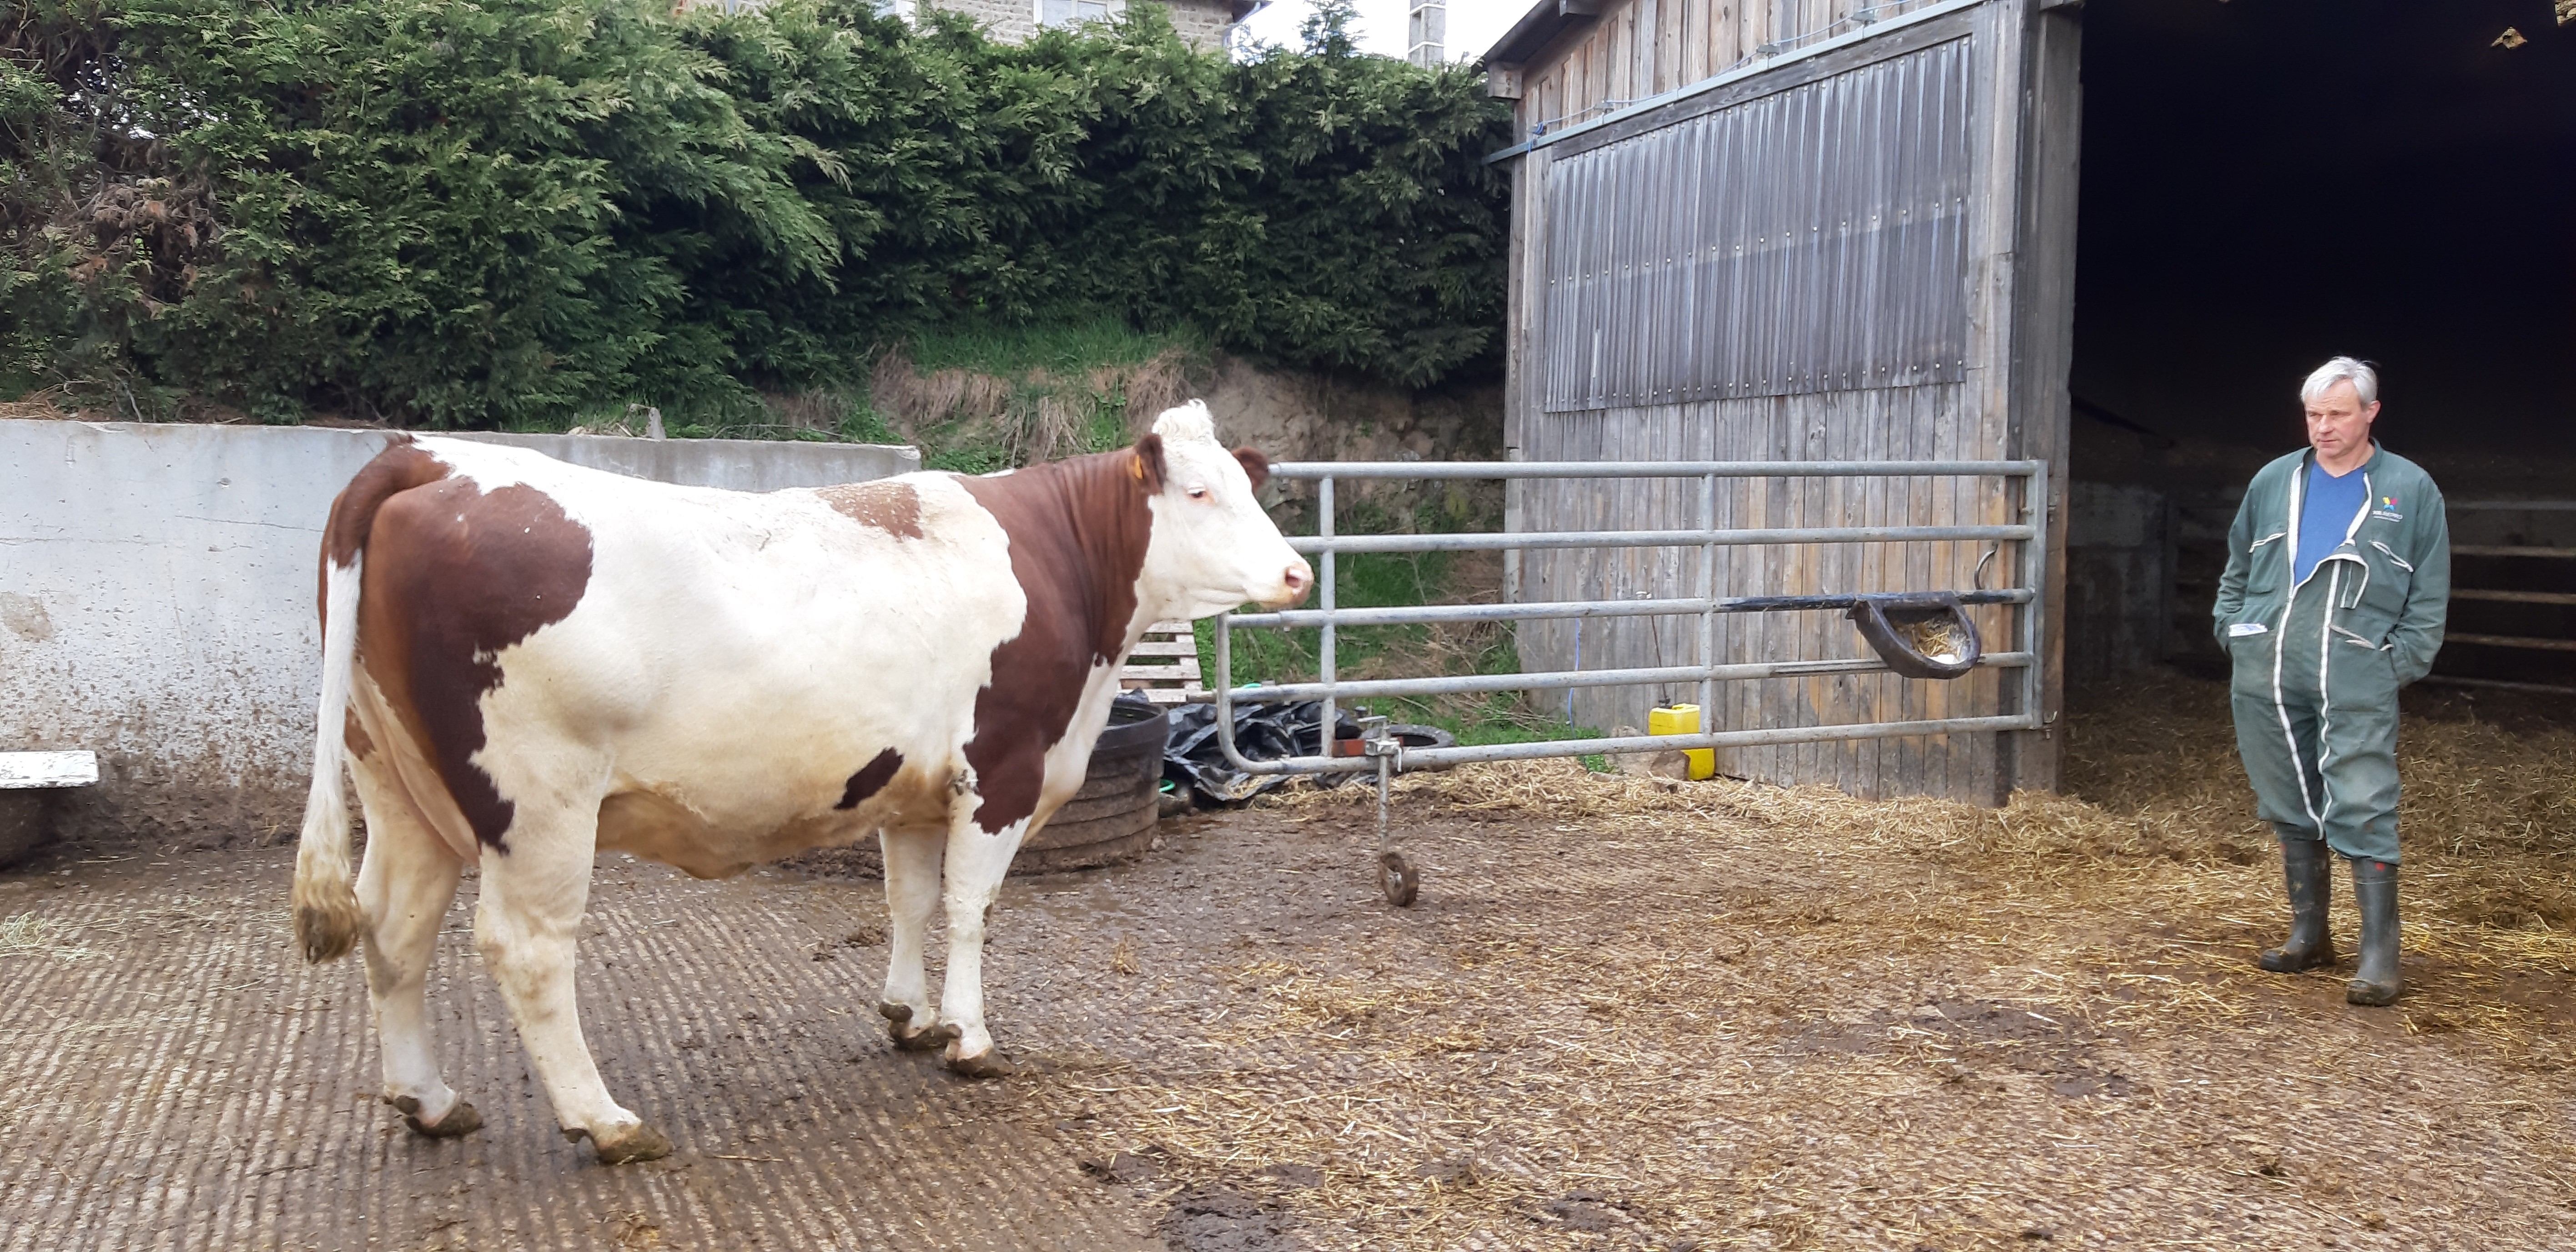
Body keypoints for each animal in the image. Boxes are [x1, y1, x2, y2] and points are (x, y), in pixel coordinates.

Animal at [287, 402, 1308, 1164]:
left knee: (394, 927)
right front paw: (970, 1036)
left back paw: (429, 1099)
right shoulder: (1005, 766)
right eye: (1200, 491)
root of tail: (427, 458)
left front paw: (909, 1015)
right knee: (527, 948)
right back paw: (606, 1121)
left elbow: (909, 898)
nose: (1299, 572)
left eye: (1249, 486)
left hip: (397, 785)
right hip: (537, 801)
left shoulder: (917, 784)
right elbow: (969, 907)